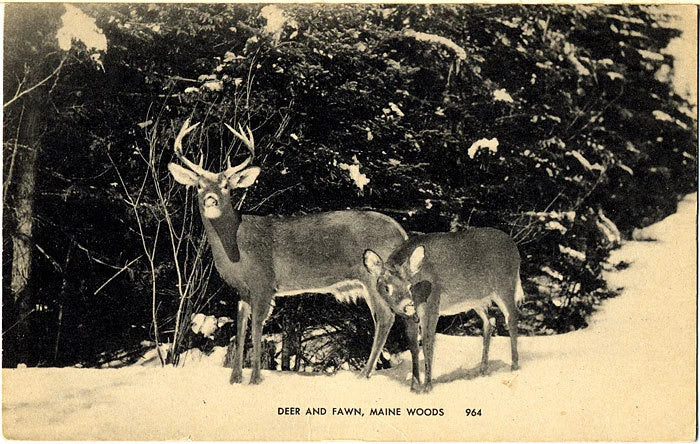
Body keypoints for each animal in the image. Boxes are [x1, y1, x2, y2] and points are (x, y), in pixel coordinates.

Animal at [167, 119, 412, 384]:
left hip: (374, 277)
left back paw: (364, 374)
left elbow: (256, 329)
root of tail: (402, 232)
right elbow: (240, 328)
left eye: (226, 186)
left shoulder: (264, 282)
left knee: (386, 318)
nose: (211, 200)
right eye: (199, 185)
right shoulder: (242, 290)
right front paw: (234, 379)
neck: (237, 247)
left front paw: (255, 379)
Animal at [363, 228, 524, 393]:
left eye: (409, 286)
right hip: (478, 300)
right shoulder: (409, 317)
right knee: (489, 322)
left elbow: (428, 345)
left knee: (512, 317)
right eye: (387, 287)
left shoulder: (432, 306)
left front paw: (427, 387)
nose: (408, 305)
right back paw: (483, 370)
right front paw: (414, 387)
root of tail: (514, 246)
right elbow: (414, 347)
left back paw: (514, 366)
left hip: (505, 285)